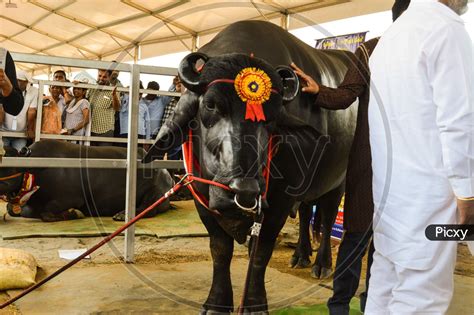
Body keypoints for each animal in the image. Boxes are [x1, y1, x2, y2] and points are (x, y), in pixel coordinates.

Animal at [1, 141, 172, 222]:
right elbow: (14, 209)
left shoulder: (71, 198)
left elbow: (46, 212)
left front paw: (73, 213)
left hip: (156, 192)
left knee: (147, 209)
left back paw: (122, 215)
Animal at [143, 21, 356, 314]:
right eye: (210, 104)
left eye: (274, 118)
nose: (244, 191)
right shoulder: (202, 195)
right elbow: (220, 250)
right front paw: (217, 303)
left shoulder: (279, 200)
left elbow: (261, 253)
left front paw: (254, 304)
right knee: (305, 213)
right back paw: (300, 255)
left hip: (338, 181)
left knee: (326, 217)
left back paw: (321, 264)